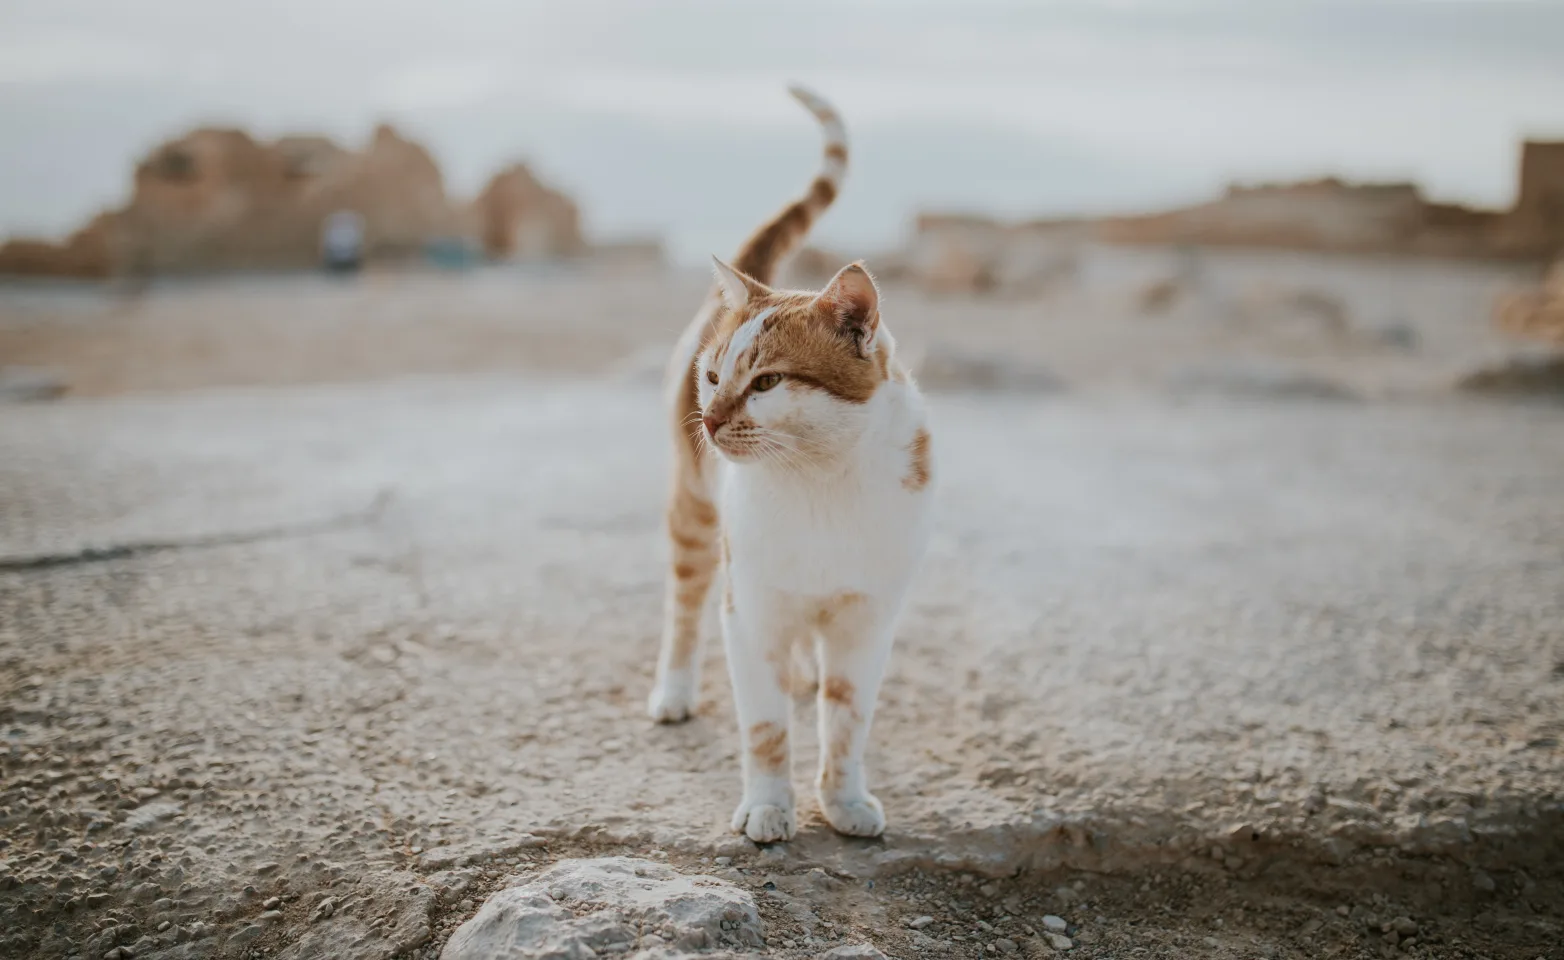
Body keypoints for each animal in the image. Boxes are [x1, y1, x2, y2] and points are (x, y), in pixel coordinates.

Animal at [644, 88, 932, 844]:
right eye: (715, 378)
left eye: (768, 382)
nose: (711, 420)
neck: (819, 482)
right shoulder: (750, 613)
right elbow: (766, 728)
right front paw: (770, 807)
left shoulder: (867, 620)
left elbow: (847, 720)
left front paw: (844, 800)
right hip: (695, 518)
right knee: (683, 608)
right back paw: (674, 691)